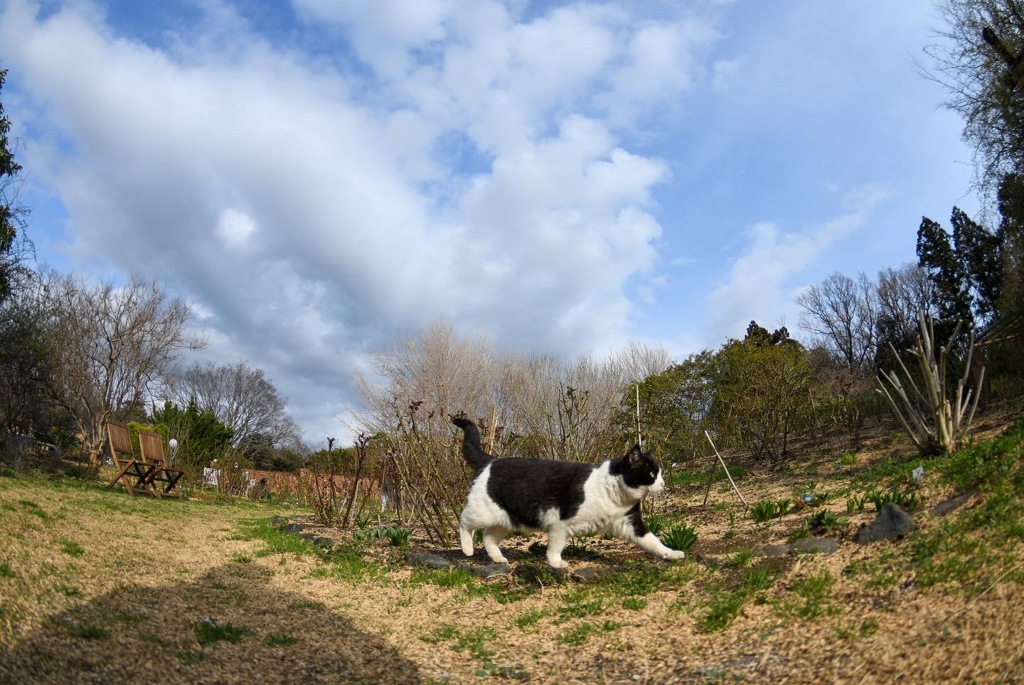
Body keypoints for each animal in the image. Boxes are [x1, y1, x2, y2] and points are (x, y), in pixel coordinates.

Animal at [452, 417, 684, 565]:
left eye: (661, 474)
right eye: (652, 475)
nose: (663, 484)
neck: (613, 494)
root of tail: (490, 460)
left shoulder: (630, 523)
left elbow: (653, 541)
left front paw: (671, 554)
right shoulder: (560, 524)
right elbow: (556, 546)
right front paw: (556, 563)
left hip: (507, 519)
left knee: (488, 537)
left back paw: (498, 558)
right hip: (482, 512)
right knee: (464, 522)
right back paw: (467, 549)